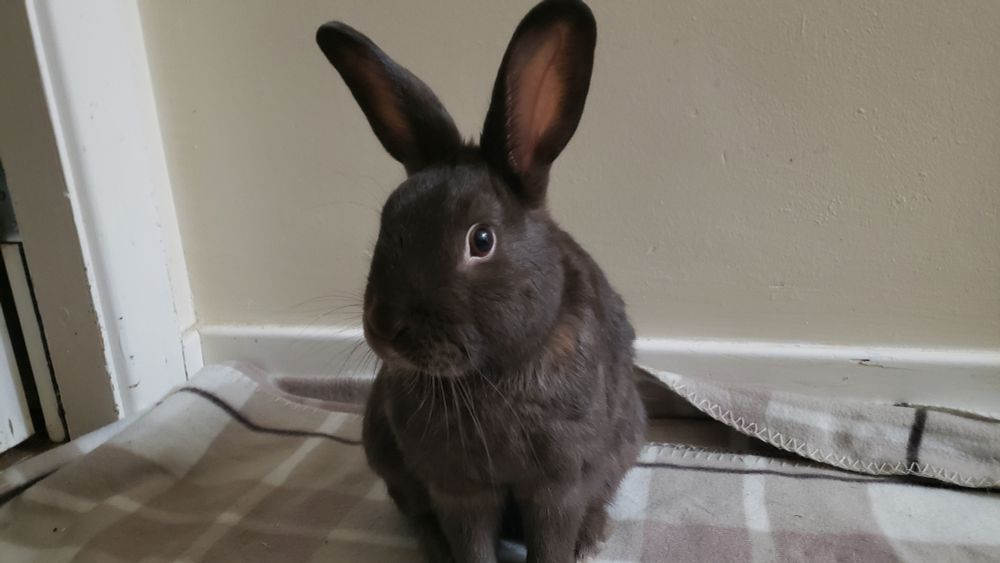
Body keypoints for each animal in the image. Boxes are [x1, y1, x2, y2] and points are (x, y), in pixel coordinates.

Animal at [315, 1, 645, 561]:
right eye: (387, 221)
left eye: (482, 240)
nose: (385, 326)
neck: (488, 375)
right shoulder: (458, 489)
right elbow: (470, 542)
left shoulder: (558, 485)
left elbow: (551, 540)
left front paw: (572, 545)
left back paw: (592, 535)